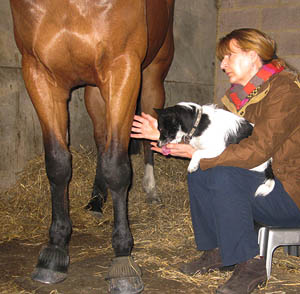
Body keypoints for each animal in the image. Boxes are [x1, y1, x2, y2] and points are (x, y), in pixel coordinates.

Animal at [9, 1, 175, 292]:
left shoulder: (123, 67)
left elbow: (117, 168)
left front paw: (122, 257)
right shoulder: (38, 72)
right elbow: (58, 163)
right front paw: (55, 249)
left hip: (151, 74)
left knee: (147, 135)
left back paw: (151, 189)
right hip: (94, 89)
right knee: (101, 139)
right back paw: (97, 199)